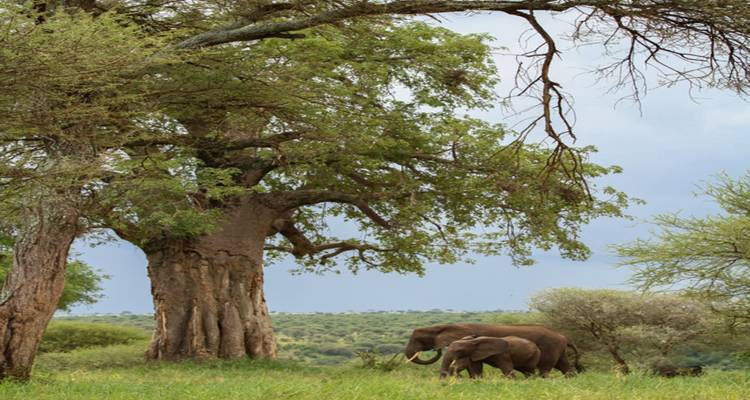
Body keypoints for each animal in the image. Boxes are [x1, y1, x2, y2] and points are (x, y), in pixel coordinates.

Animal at [404, 323, 583, 377]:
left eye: (418, 340)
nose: (437, 350)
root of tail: (564, 337)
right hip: (559, 350)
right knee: (565, 367)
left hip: (551, 348)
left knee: (545, 369)